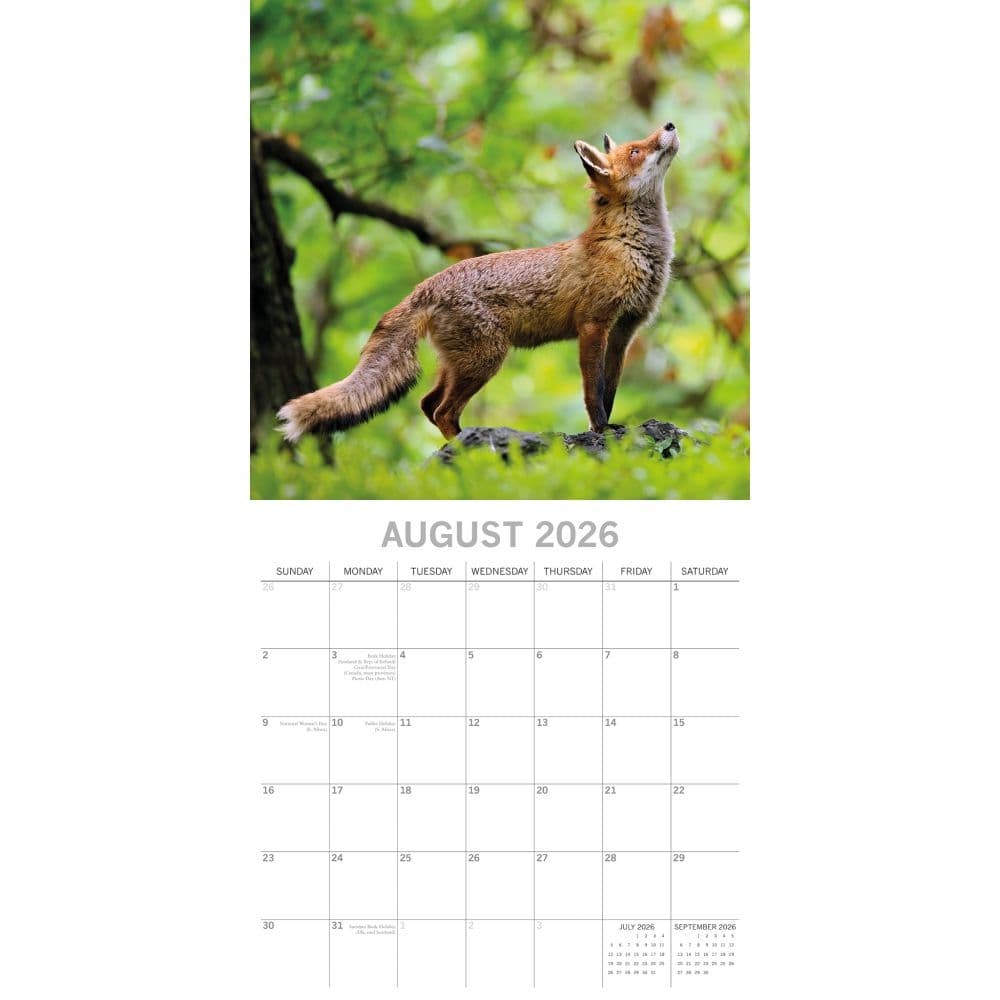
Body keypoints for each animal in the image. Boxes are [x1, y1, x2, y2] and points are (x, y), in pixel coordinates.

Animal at [277, 122, 679, 442]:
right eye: (636, 150)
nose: (670, 125)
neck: (631, 246)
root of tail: (426, 286)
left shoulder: (624, 332)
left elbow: (609, 390)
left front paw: (612, 427)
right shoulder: (593, 324)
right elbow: (593, 393)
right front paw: (599, 430)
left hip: (459, 364)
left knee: (427, 404)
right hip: (485, 360)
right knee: (442, 411)